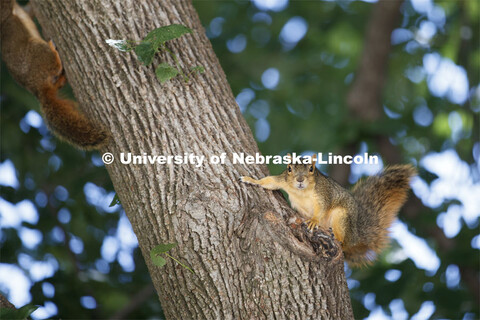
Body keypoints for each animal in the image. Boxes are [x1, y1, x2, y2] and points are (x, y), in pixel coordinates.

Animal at [240, 154, 416, 266]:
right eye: (289, 168)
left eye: (311, 169)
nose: (300, 179)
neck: (301, 191)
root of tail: (356, 236)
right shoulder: (282, 181)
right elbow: (269, 182)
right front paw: (251, 180)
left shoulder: (323, 193)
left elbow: (323, 207)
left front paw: (314, 220)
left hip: (341, 217)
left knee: (342, 242)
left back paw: (336, 237)